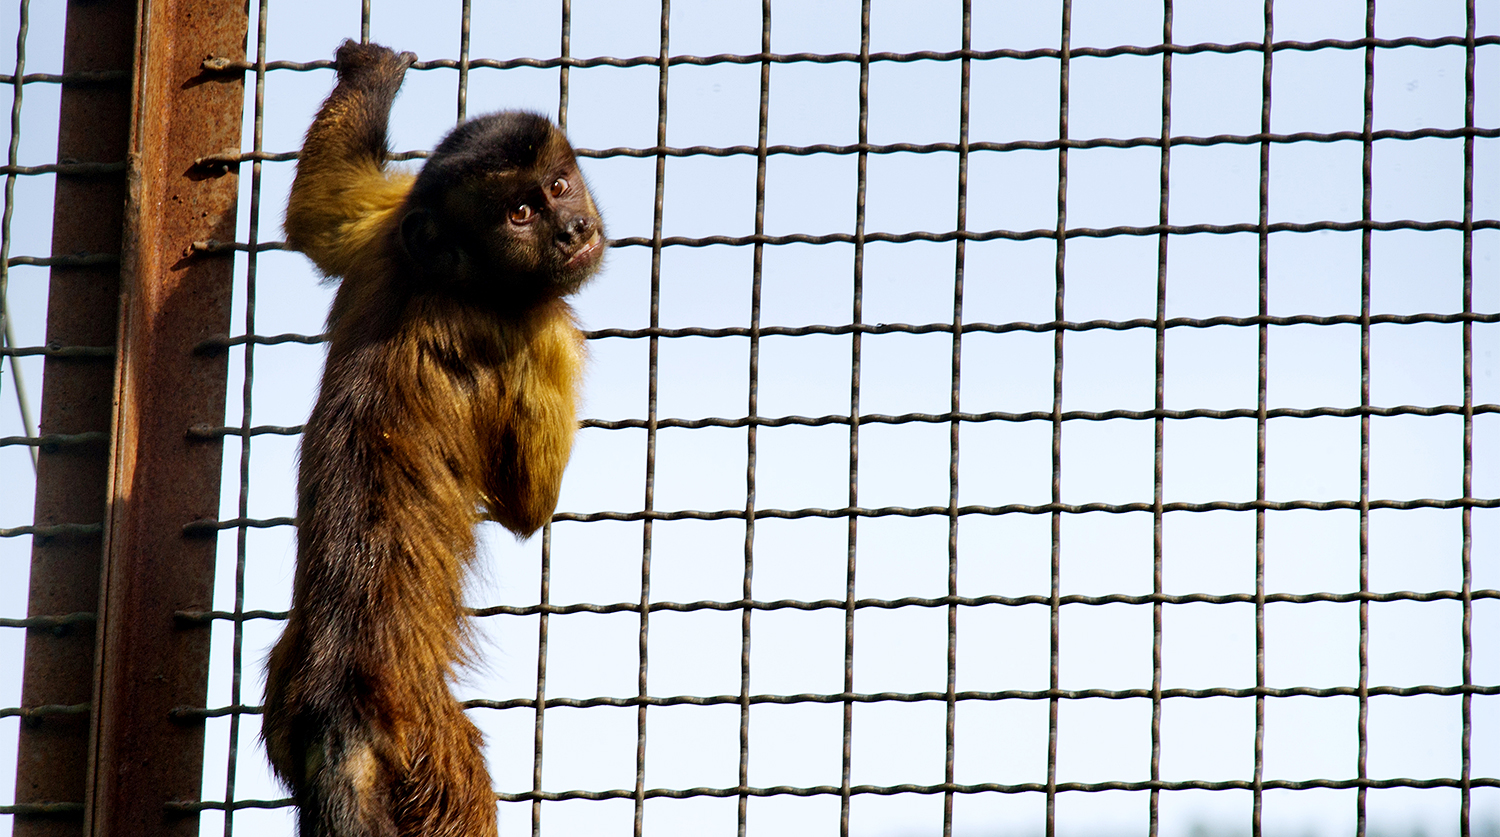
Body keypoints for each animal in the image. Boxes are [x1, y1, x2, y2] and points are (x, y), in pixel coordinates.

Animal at [262, 41, 603, 837]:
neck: (443, 276)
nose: (573, 230)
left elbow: (322, 214)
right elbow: (525, 504)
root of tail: (337, 714)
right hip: (431, 750)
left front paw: (370, 74)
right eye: (520, 213)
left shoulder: (385, 234)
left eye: (560, 185)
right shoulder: (530, 323)